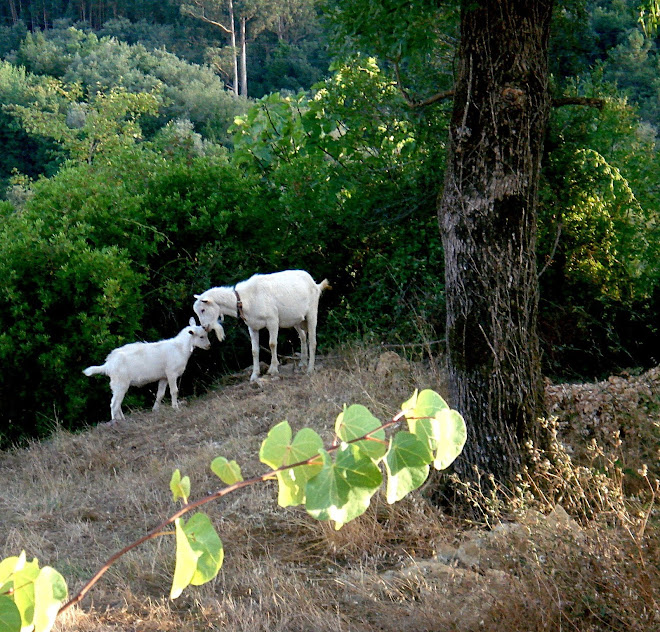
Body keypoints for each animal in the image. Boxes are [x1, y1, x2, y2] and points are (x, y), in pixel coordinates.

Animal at [82, 318, 210, 422]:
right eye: (201, 336)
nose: (209, 346)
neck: (180, 348)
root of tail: (108, 364)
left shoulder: (164, 376)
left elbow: (160, 394)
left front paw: (155, 410)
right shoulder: (171, 373)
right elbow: (174, 391)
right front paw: (176, 408)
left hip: (117, 384)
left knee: (117, 402)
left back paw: (123, 419)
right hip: (120, 383)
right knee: (114, 403)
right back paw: (115, 422)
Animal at [195, 268, 330, 380]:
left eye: (203, 309)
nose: (204, 327)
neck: (244, 300)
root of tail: (315, 284)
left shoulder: (272, 321)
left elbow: (272, 344)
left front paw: (273, 369)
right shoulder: (252, 327)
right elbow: (254, 350)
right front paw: (254, 375)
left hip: (312, 312)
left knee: (312, 341)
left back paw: (310, 369)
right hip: (296, 319)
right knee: (302, 336)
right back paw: (302, 362)